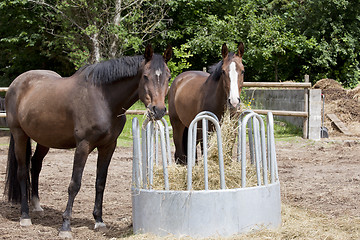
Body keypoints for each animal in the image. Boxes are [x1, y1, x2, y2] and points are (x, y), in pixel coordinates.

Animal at [2, 44, 172, 237]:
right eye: (145, 76)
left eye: (168, 76)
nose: (158, 110)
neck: (103, 99)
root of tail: (16, 83)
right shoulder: (83, 145)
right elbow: (75, 184)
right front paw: (65, 226)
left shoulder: (108, 146)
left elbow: (100, 182)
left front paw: (99, 221)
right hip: (19, 134)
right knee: (22, 172)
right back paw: (25, 216)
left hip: (43, 139)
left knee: (35, 165)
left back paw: (37, 206)